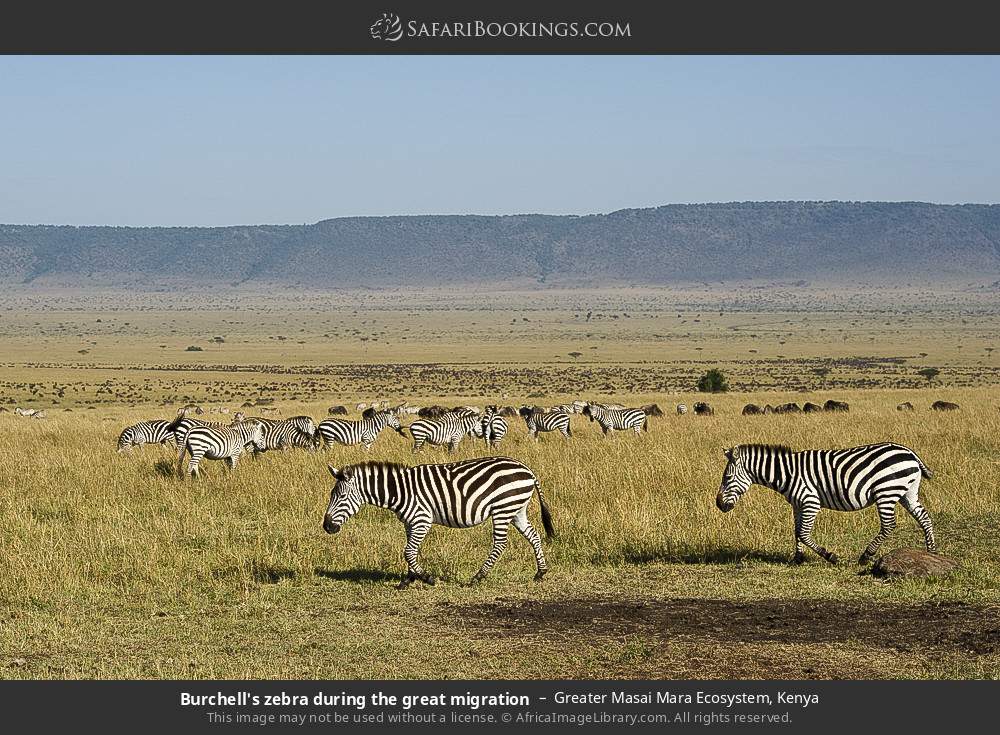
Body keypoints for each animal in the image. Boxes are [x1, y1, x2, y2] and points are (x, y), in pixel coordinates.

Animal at [320, 458, 556, 588]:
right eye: (332, 495)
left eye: (340, 497)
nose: (327, 527)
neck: (400, 491)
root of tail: (527, 470)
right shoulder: (410, 523)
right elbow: (410, 551)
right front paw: (409, 579)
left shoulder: (422, 520)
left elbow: (408, 552)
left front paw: (427, 578)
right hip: (516, 510)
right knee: (533, 535)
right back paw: (540, 572)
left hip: (502, 508)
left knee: (500, 544)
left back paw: (478, 577)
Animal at [720, 440, 936, 568]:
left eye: (727, 478)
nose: (718, 505)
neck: (788, 474)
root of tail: (910, 453)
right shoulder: (797, 505)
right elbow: (796, 532)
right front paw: (797, 559)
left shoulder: (810, 502)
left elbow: (804, 534)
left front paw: (830, 556)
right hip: (907, 492)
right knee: (924, 518)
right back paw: (932, 553)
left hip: (887, 491)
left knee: (889, 525)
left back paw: (866, 556)